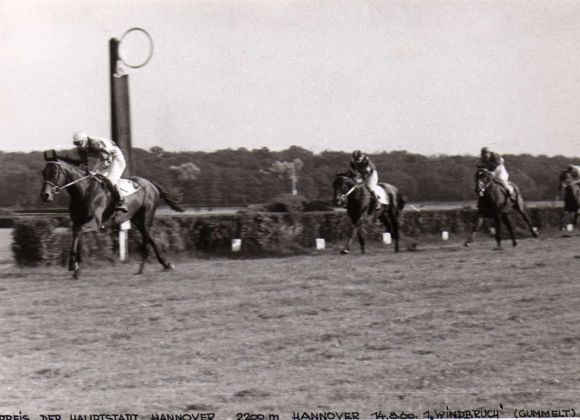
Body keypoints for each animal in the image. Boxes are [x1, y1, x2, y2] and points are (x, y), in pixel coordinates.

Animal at [40, 153, 184, 278]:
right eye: (43, 172)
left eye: (54, 172)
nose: (45, 195)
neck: (84, 191)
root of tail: (150, 183)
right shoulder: (77, 221)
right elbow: (76, 234)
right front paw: (76, 267)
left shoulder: (96, 222)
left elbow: (79, 232)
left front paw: (73, 265)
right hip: (137, 219)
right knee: (150, 239)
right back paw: (155, 266)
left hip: (146, 217)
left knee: (148, 239)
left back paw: (157, 266)